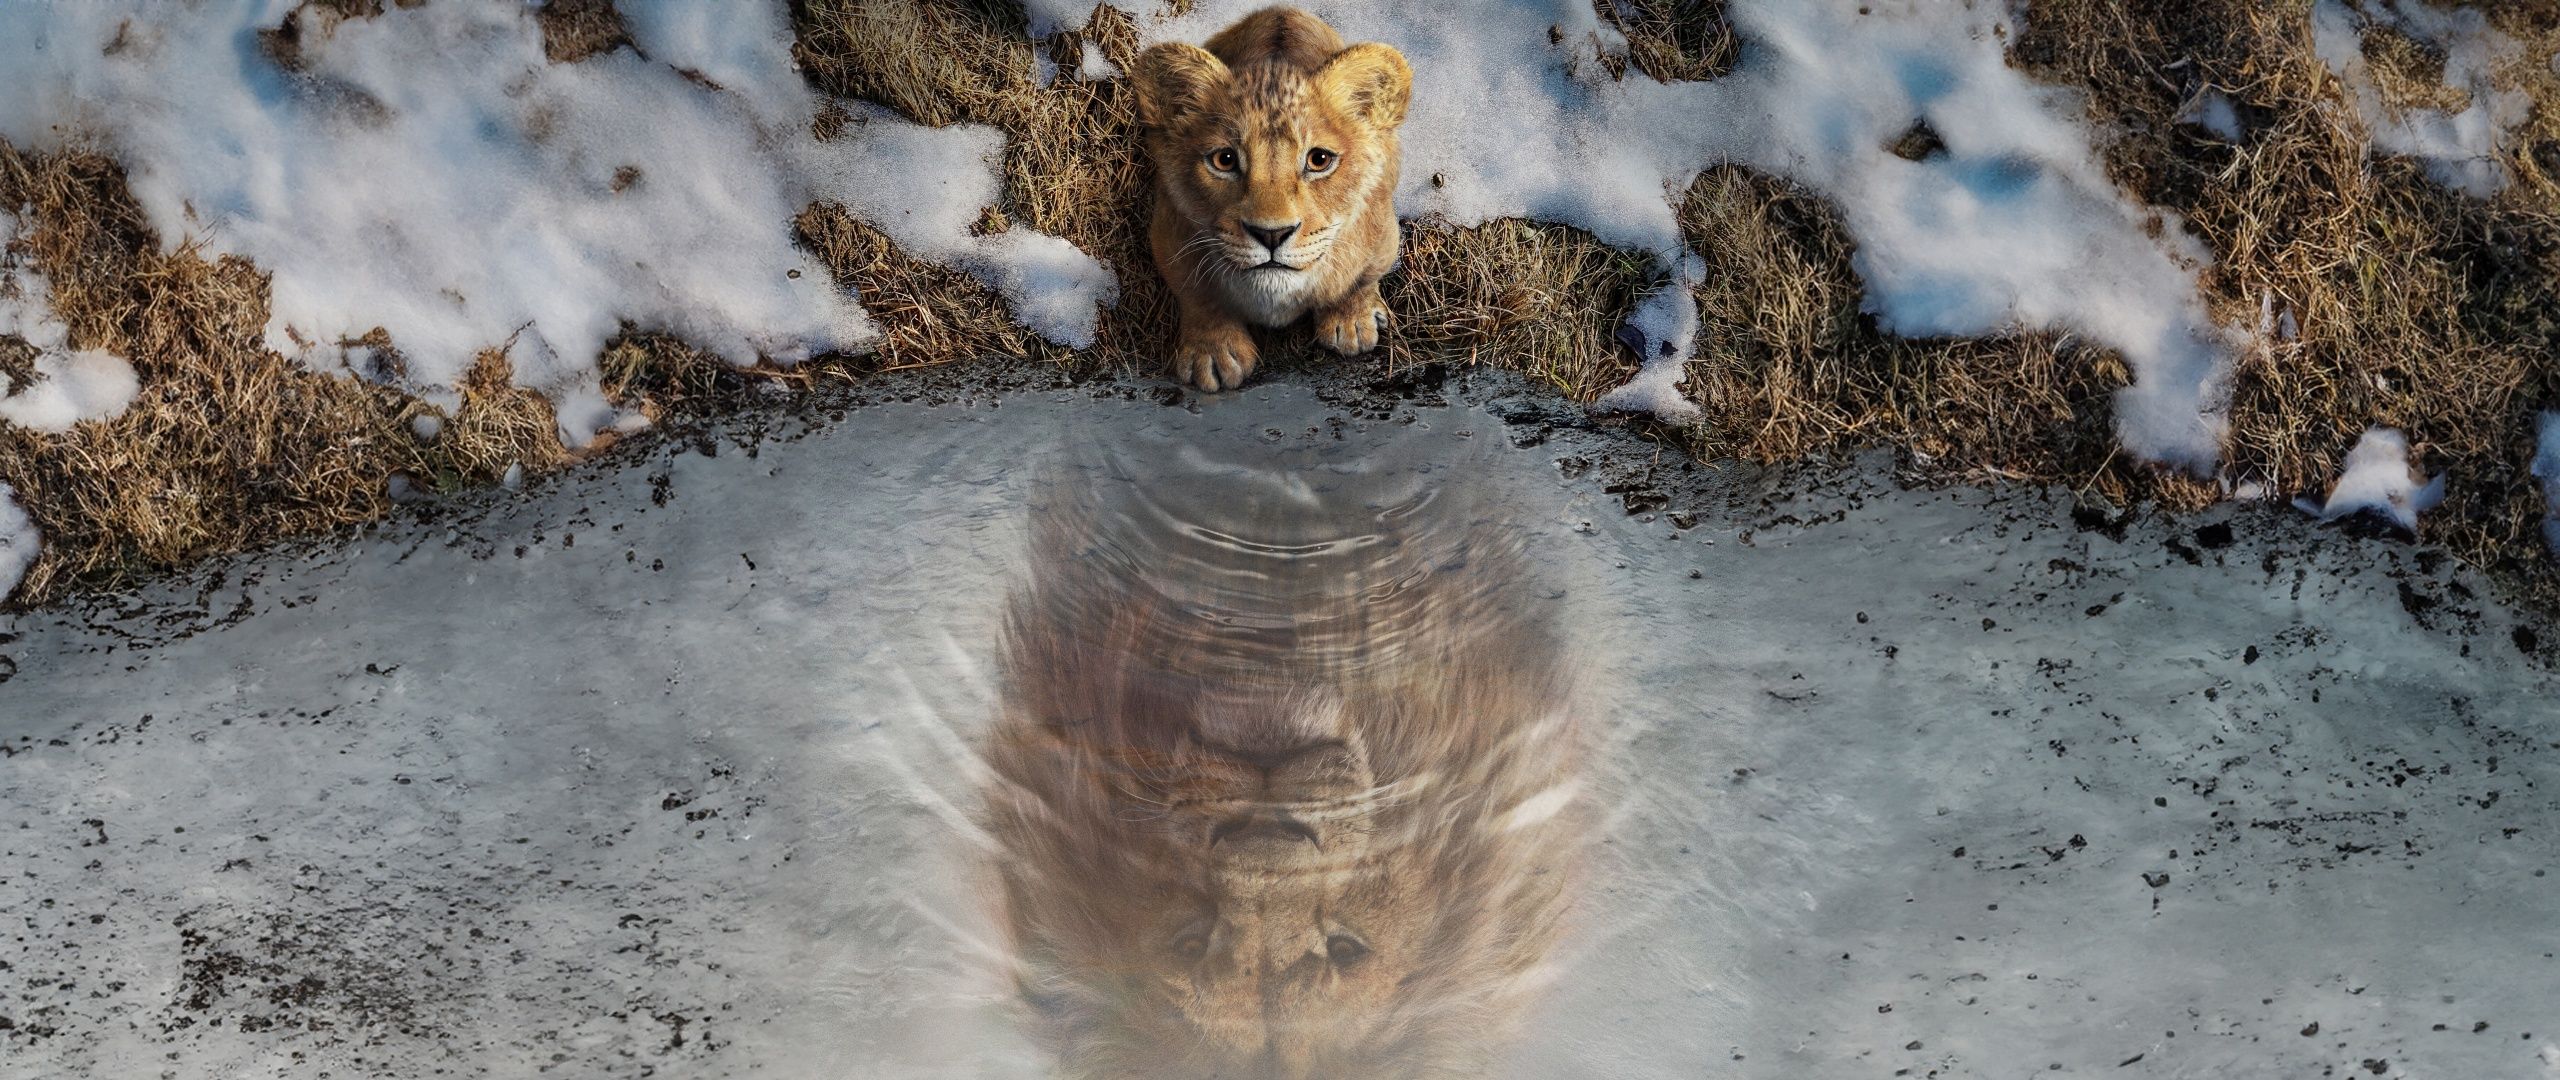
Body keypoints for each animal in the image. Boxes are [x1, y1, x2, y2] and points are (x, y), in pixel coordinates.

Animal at [1132, 7, 1413, 392]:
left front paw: (1351, 322)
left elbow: (1360, 279)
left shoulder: (1383, 233)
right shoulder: (1168, 233)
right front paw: (1213, 353)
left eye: (1319, 160)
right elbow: (1197, 294)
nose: (1271, 234)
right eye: (1224, 160)